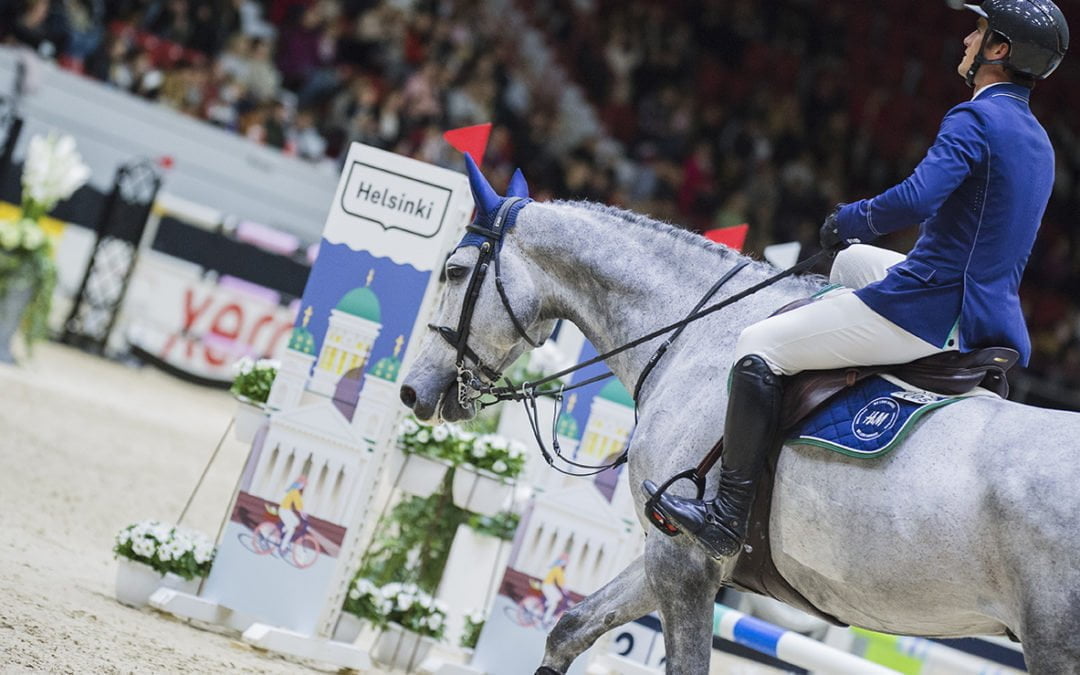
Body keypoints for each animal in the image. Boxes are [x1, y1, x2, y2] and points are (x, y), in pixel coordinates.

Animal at [398, 170, 1080, 674]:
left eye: (455, 271)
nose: (412, 391)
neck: (696, 333)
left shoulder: (684, 563)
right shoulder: (668, 551)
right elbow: (571, 626)